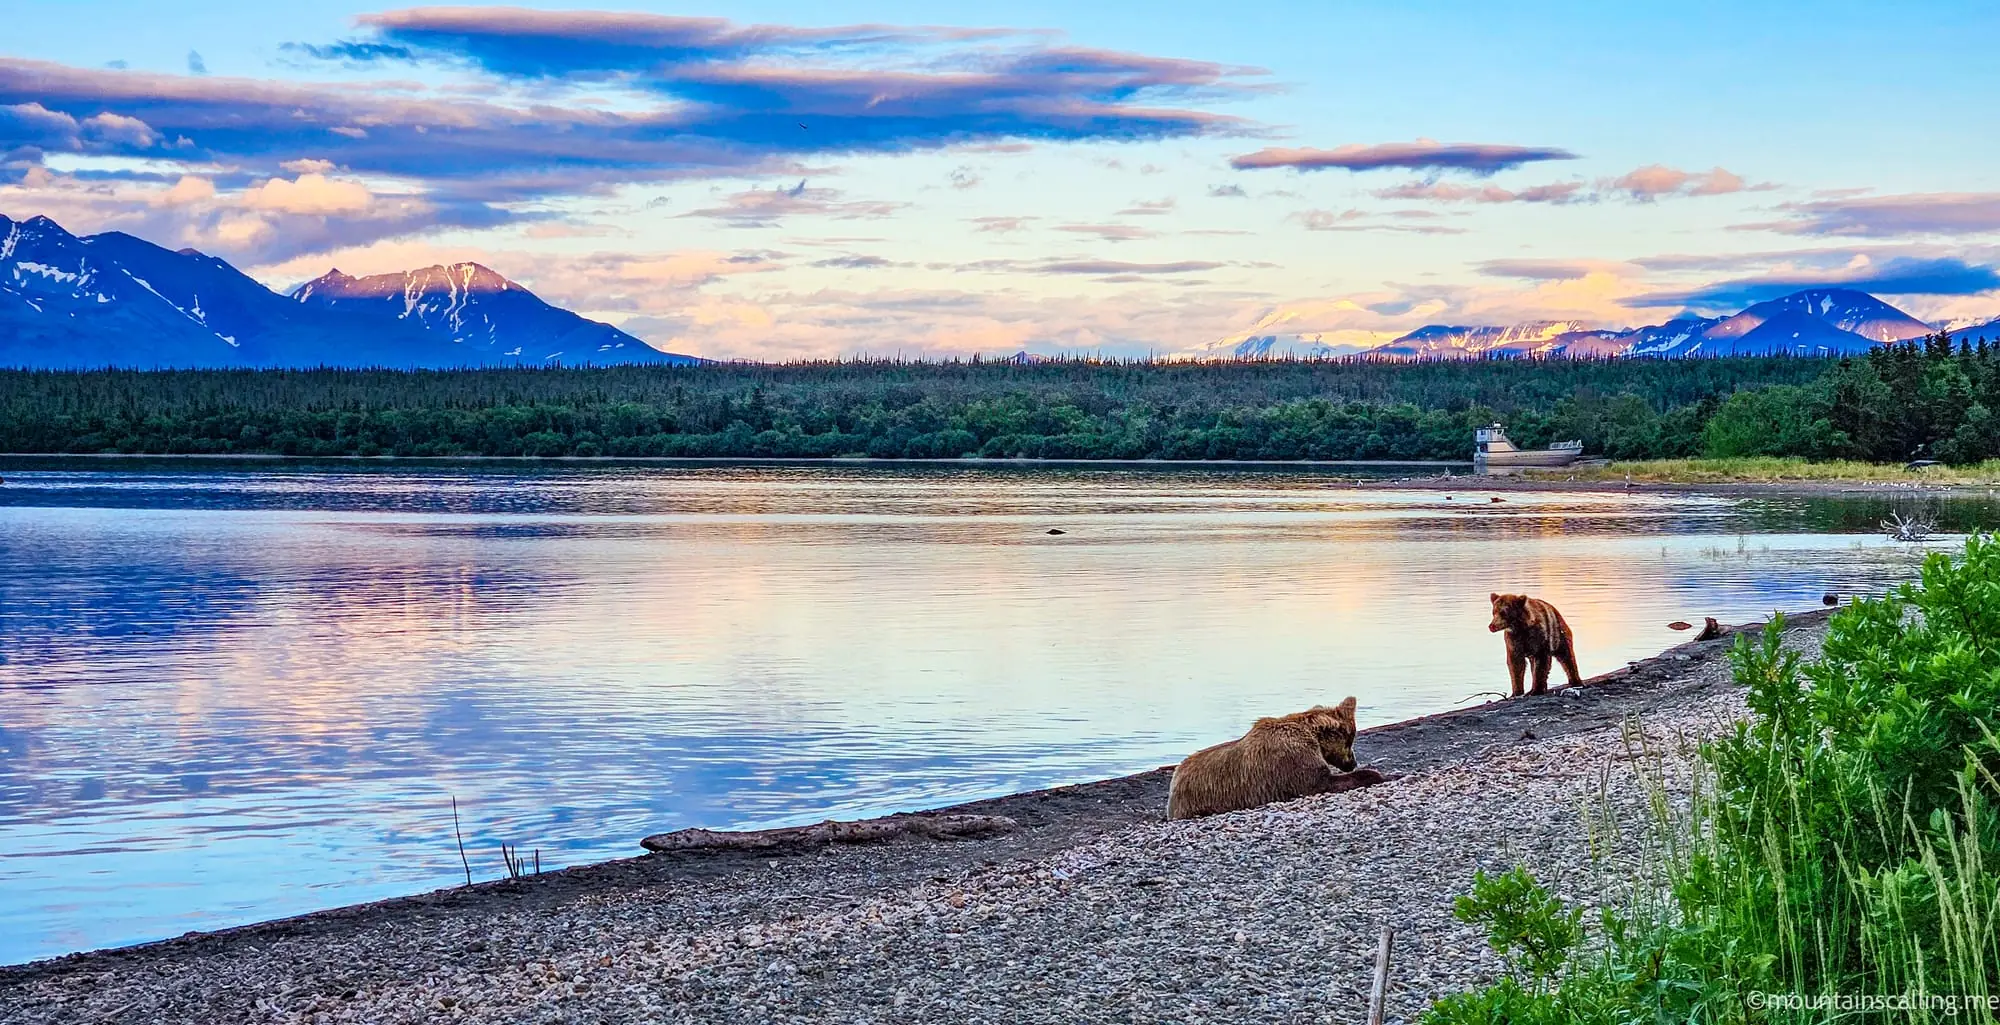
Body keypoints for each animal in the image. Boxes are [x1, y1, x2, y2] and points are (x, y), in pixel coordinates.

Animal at [1165, 697, 1387, 820]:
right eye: (1350, 741)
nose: (1352, 762)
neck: (1313, 737)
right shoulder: (1292, 763)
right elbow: (1321, 782)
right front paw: (1375, 774)